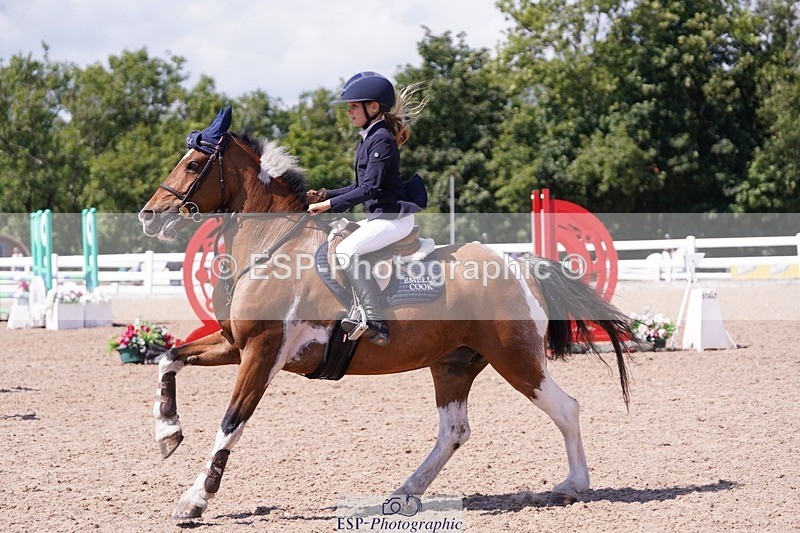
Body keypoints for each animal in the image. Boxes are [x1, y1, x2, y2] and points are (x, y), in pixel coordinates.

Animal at [138, 115, 633, 519]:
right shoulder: (234, 344)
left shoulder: (262, 351)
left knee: (565, 408)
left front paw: (195, 499)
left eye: (192, 164)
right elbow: (168, 358)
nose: (148, 216)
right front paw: (167, 433)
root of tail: (519, 265)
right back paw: (401, 494)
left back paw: (572, 486)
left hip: (517, 359)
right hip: (454, 364)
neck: (273, 246)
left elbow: (231, 422)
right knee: (454, 431)